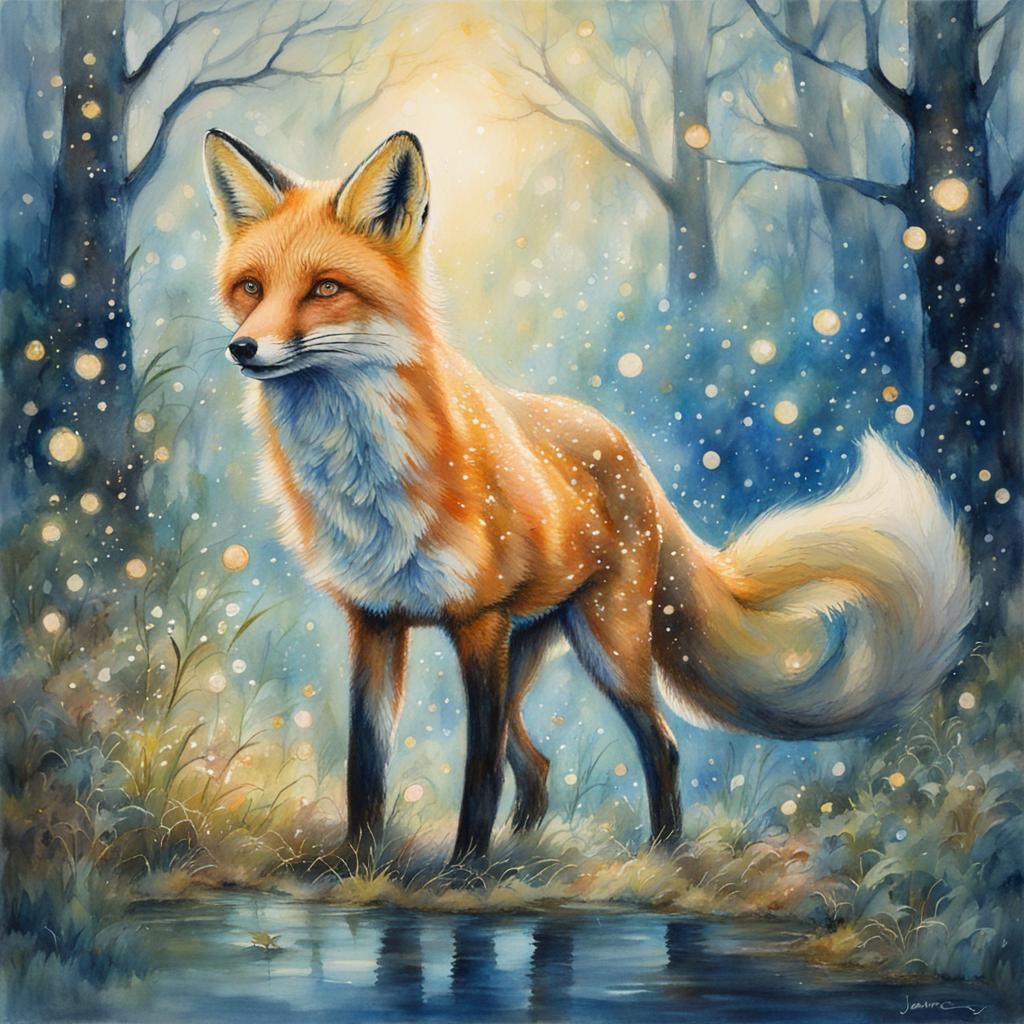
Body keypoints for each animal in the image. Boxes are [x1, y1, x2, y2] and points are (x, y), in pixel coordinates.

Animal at [203, 128, 974, 863]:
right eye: (250, 287)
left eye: (325, 288)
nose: (242, 348)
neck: (364, 483)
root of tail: (624, 446)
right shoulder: (373, 620)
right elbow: (366, 767)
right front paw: (359, 863)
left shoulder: (476, 622)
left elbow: (478, 772)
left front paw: (464, 872)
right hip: (530, 647)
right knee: (538, 762)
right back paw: (527, 847)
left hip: (604, 646)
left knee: (656, 744)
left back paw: (661, 853)